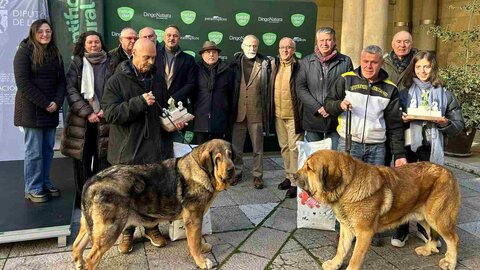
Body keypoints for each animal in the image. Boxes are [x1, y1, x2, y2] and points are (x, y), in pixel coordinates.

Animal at [71, 140, 234, 268]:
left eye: (230, 154)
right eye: (218, 159)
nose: (232, 170)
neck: (201, 169)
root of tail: (91, 181)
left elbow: (198, 239)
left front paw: (203, 248)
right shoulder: (193, 219)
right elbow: (194, 242)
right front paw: (201, 260)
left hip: (89, 225)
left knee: (76, 246)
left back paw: (79, 263)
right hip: (110, 229)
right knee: (92, 258)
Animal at [294, 150, 460, 270]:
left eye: (309, 168)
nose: (293, 175)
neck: (347, 187)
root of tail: (448, 172)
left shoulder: (364, 233)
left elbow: (355, 258)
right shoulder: (346, 228)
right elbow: (341, 249)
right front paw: (335, 264)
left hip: (438, 217)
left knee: (453, 239)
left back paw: (450, 262)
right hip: (424, 216)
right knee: (432, 235)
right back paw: (428, 250)